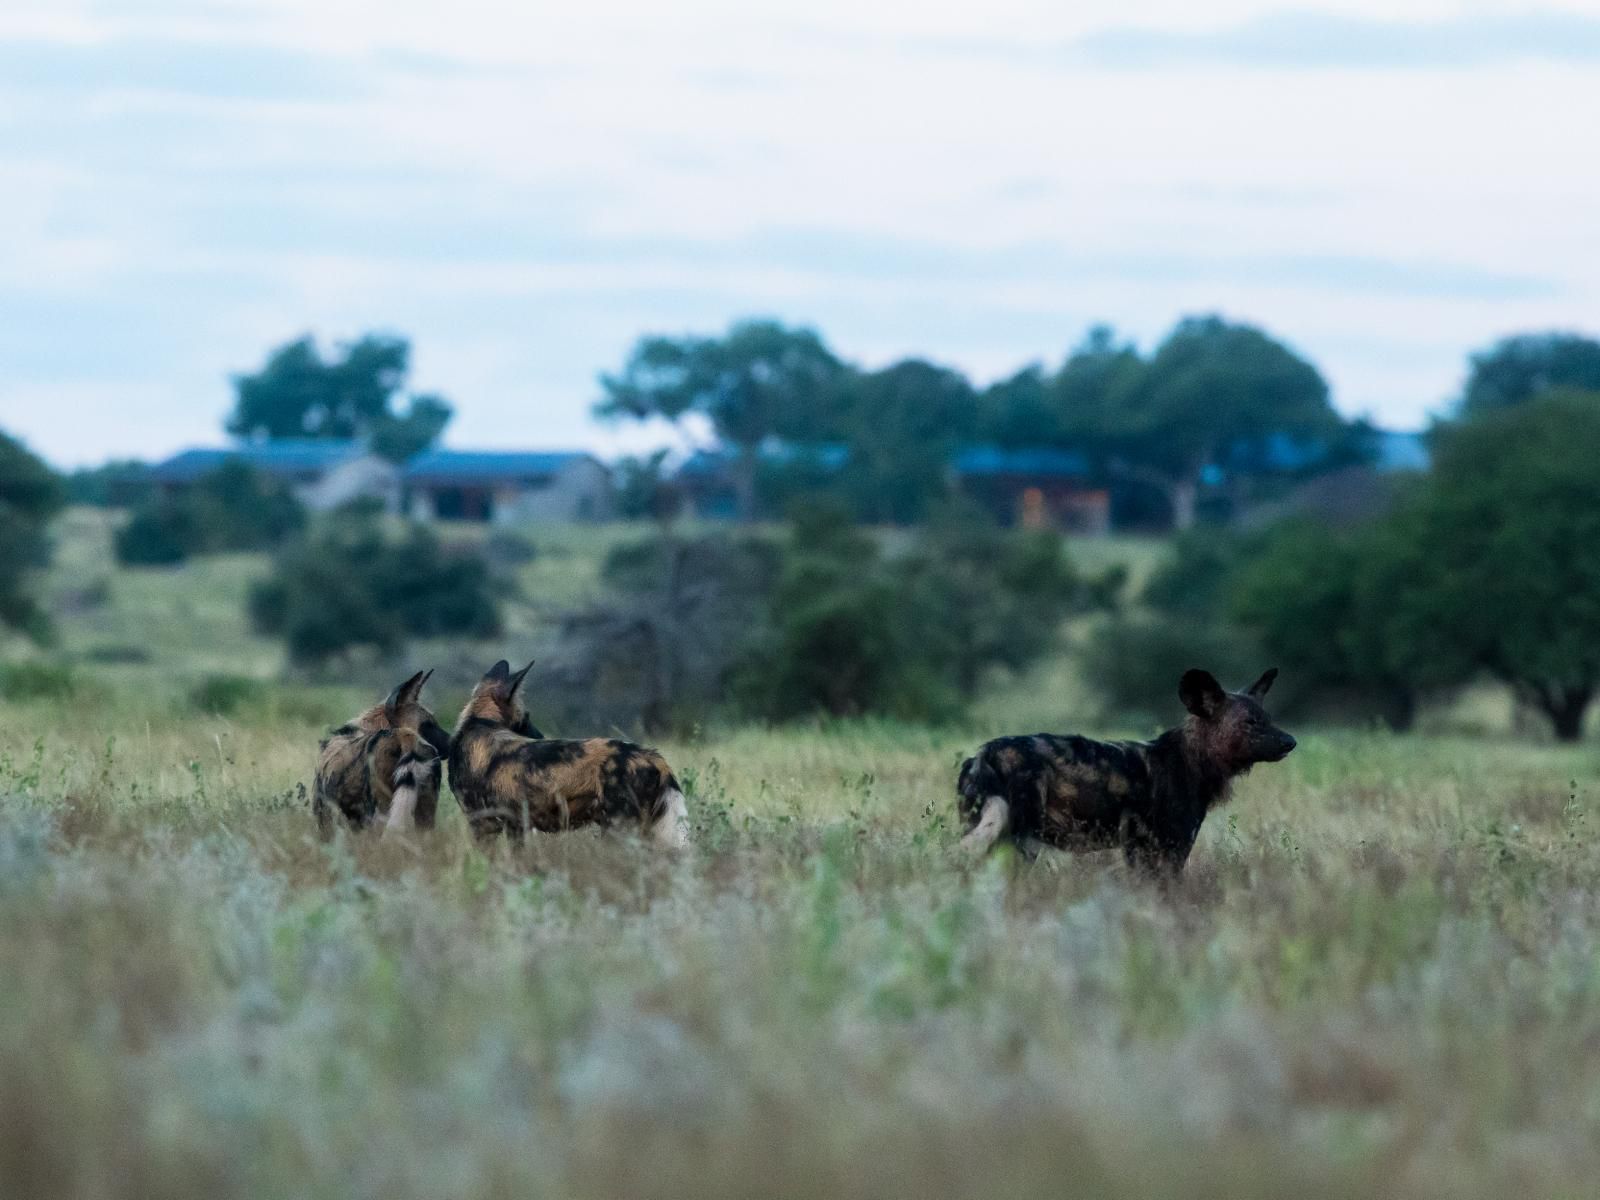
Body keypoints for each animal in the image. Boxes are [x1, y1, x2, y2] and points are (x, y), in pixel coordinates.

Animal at [448, 662, 691, 851]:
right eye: (527, 717)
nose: (540, 736)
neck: (480, 722)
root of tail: (653, 756)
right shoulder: (517, 828)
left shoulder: (483, 826)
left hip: (619, 829)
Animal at [953, 668, 1292, 876]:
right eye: (1250, 722)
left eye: (1268, 718)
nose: (1291, 741)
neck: (1192, 760)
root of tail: (984, 754)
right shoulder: (1168, 849)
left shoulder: (1137, 850)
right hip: (1021, 840)